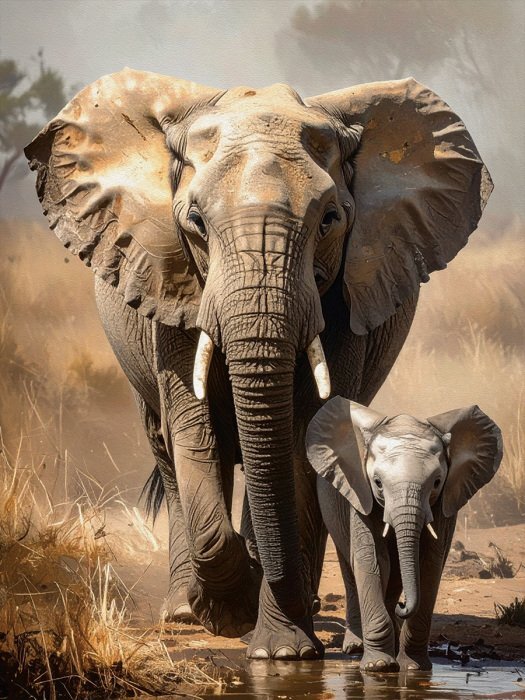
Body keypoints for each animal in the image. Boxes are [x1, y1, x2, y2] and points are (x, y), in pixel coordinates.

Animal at [306, 397, 502, 671]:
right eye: (377, 483)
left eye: (437, 482)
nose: (403, 606)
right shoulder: (360, 493)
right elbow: (373, 560)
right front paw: (379, 666)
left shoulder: (446, 500)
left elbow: (429, 565)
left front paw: (413, 667)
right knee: (352, 568)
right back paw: (357, 647)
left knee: (397, 572)